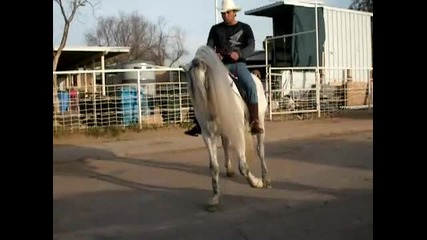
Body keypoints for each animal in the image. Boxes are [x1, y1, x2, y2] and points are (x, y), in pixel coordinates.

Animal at [184, 46, 270, 211]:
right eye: (193, 88)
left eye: (205, 84)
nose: (208, 117)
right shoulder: (208, 136)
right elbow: (213, 167)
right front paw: (214, 198)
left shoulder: (237, 131)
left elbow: (243, 166)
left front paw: (256, 182)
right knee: (225, 144)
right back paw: (229, 170)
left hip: (260, 122)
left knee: (261, 149)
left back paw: (266, 179)